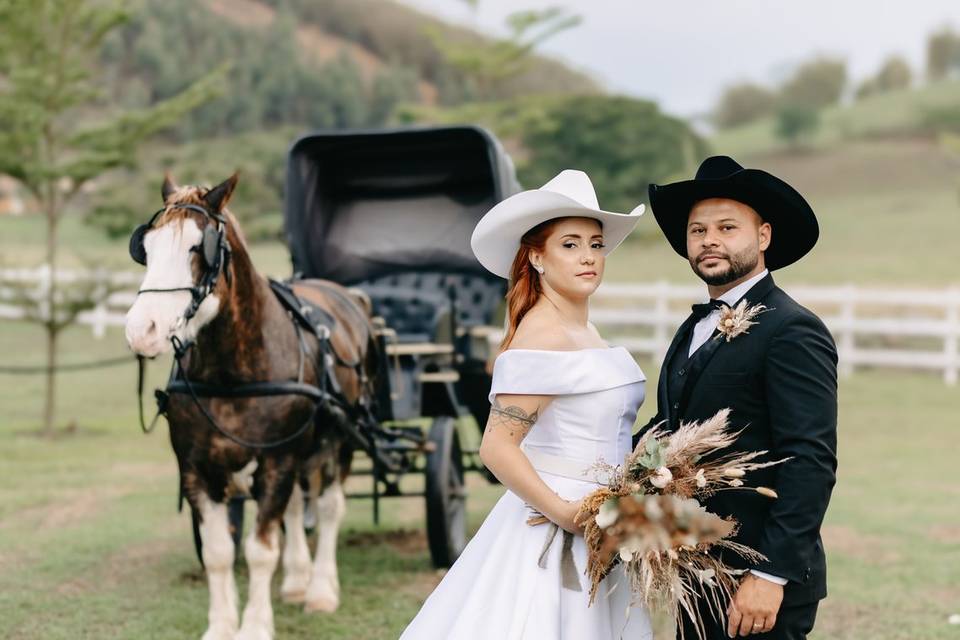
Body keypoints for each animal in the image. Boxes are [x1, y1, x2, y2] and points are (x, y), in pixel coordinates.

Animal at [121, 174, 376, 640]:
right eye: (145, 247)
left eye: (197, 247)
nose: (141, 330)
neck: (232, 375)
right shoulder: (196, 468)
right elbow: (219, 552)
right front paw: (221, 625)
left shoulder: (277, 461)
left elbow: (260, 550)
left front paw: (255, 625)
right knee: (295, 506)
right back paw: (297, 580)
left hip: (339, 440)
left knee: (329, 507)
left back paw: (320, 588)